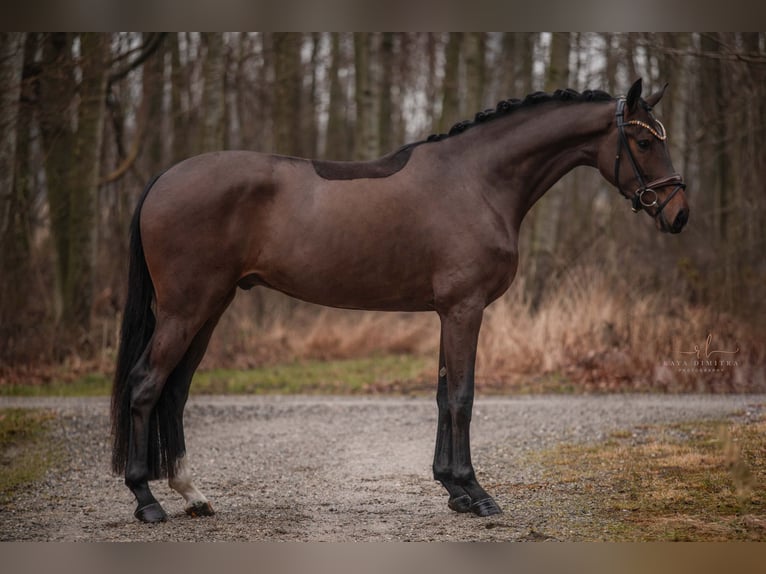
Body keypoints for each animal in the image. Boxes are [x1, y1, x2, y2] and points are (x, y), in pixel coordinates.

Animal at [112, 79, 688, 524]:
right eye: (641, 141)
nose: (679, 213)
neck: (478, 181)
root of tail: (163, 178)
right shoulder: (465, 309)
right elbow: (462, 397)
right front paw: (477, 494)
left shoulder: (448, 312)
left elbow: (442, 395)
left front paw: (454, 490)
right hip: (187, 309)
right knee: (145, 385)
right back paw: (146, 500)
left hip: (210, 309)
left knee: (175, 391)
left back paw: (192, 494)